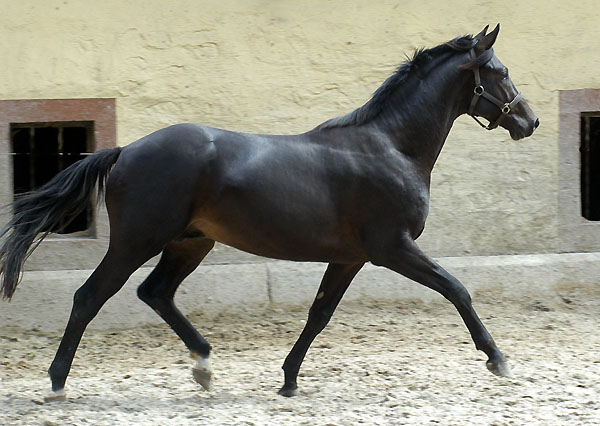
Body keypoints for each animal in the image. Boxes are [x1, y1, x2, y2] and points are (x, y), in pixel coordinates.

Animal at [1, 25, 540, 402]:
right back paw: (57, 384)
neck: (391, 148)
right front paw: (498, 359)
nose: (529, 121)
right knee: (90, 296)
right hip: (137, 240)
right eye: (500, 72)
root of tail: (126, 150)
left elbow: (319, 314)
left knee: (154, 292)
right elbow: (457, 289)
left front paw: (287, 380)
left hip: (190, 242)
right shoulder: (393, 248)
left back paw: (204, 366)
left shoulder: (351, 257)